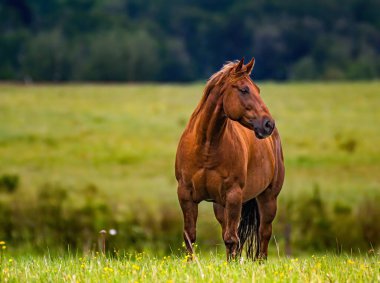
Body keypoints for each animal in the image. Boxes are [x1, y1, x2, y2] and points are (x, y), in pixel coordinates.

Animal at [174, 58, 284, 262]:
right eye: (244, 89)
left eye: (257, 89)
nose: (268, 124)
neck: (206, 146)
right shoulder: (185, 194)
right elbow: (190, 236)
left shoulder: (234, 195)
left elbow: (232, 239)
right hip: (220, 205)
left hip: (268, 198)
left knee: (263, 233)